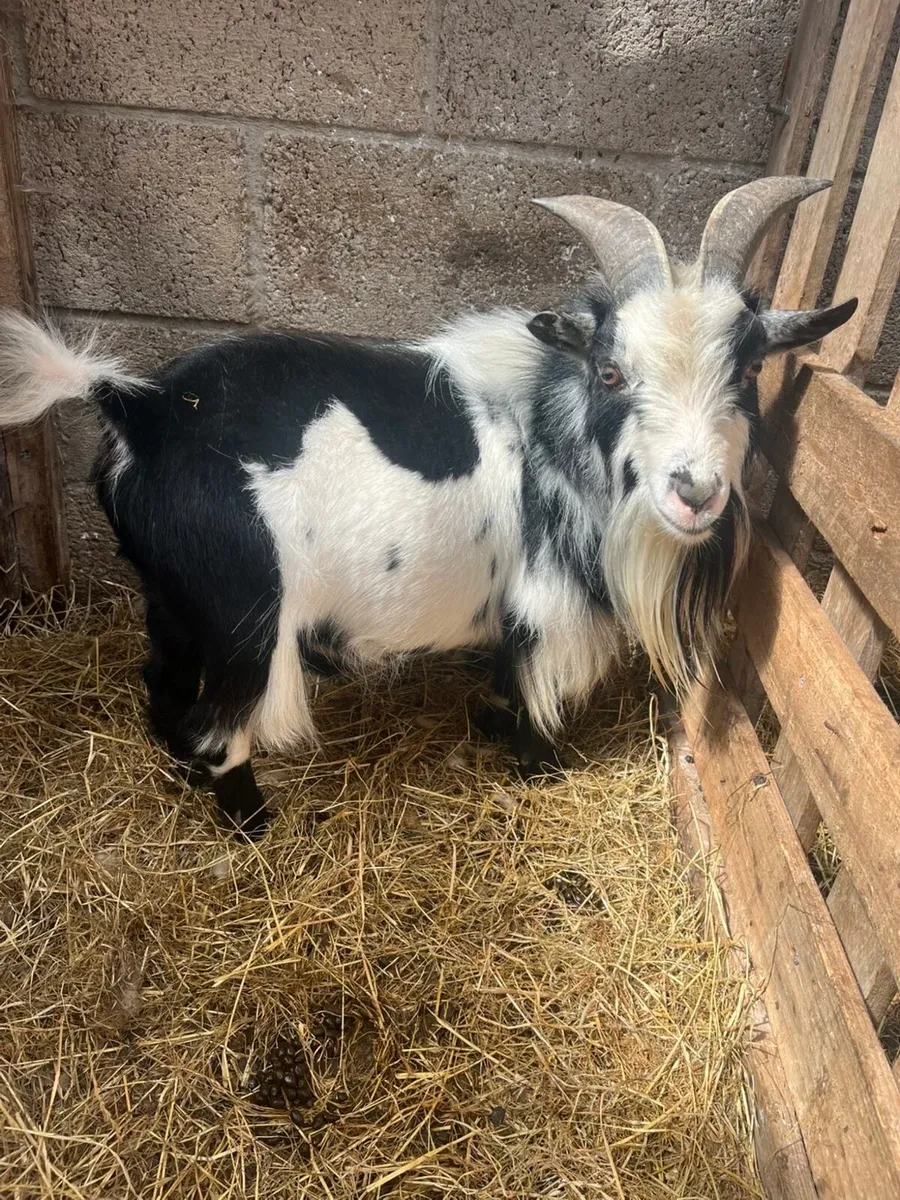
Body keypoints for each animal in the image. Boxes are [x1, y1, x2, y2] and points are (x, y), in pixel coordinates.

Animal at [0, 177, 856, 839]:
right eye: (611, 371)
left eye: (749, 367)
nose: (695, 490)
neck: (551, 421)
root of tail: (140, 408)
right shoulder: (546, 603)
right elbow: (539, 697)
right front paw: (538, 771)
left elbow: (507, 676)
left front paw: (490, 724)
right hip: (243, 614)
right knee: (217, 731)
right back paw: (254, 825)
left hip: (173, 605)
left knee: (165, 692)